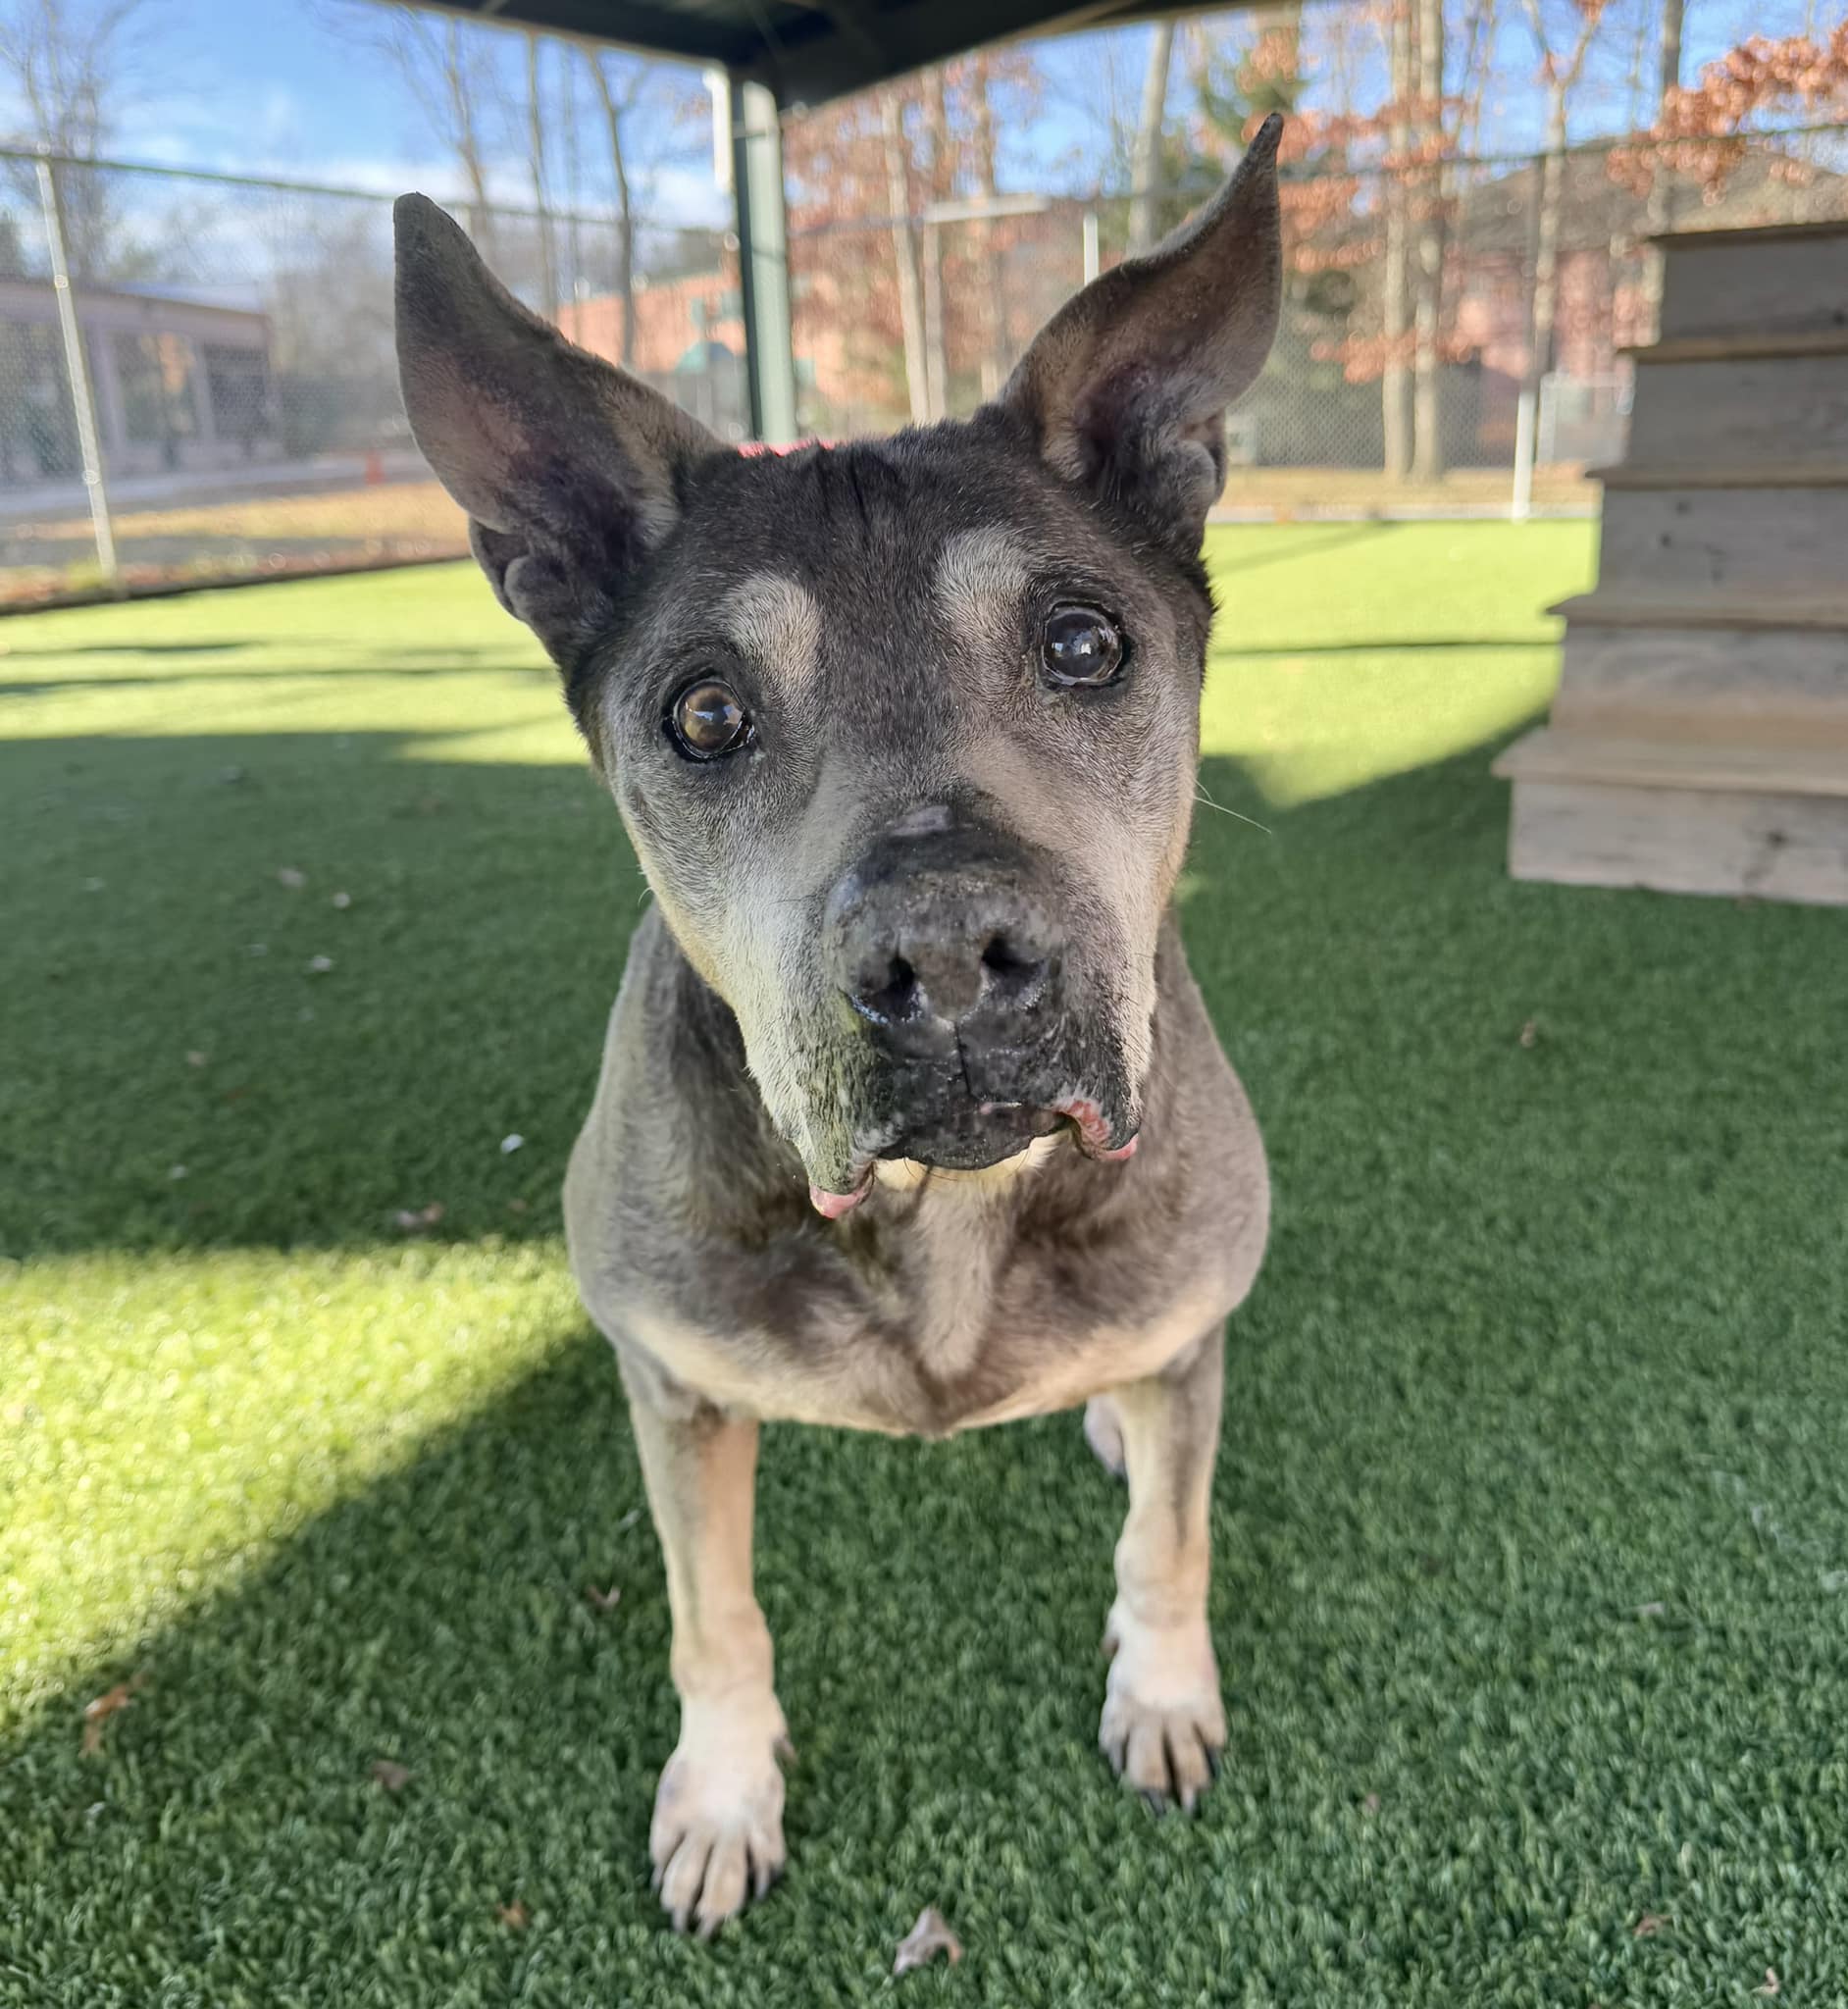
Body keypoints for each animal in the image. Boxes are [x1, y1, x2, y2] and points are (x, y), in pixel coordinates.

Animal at [393, 117, 1285, 1936]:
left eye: (1082, 641)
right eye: (702, 713)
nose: (946, 954)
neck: (942, 1213)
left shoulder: (1188, 1329)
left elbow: (1168, 1540)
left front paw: (1162, 1693)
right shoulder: (676, 1393)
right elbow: (711, 1616)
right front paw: (724, 1794)